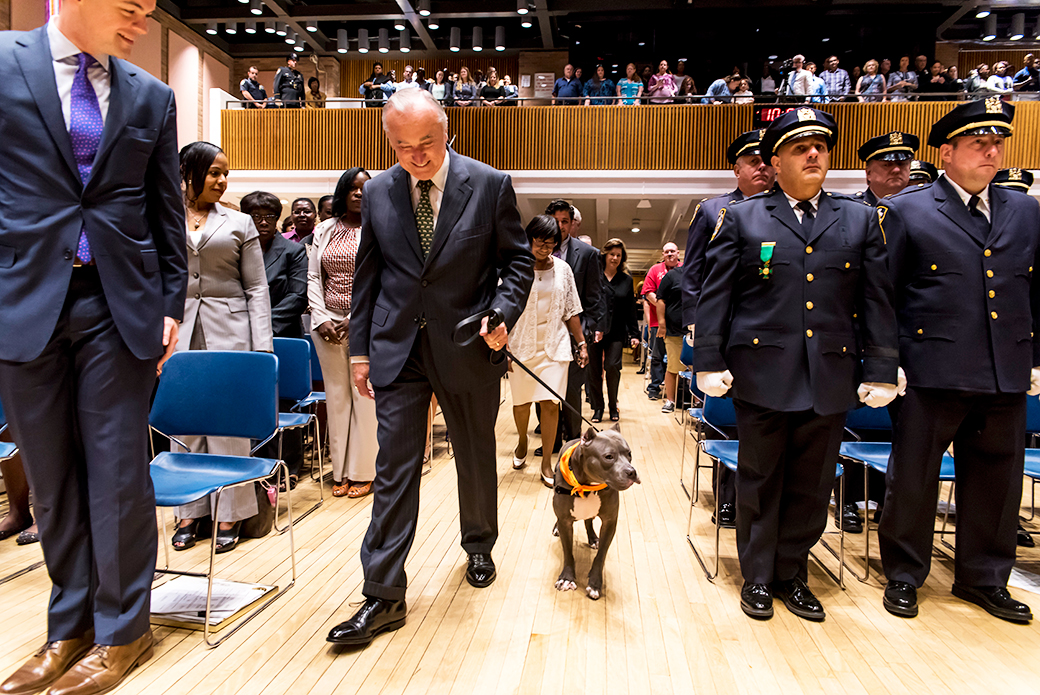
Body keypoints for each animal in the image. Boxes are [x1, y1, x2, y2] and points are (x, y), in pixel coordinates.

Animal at [553, 426, 640, 599]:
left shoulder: (609, 522)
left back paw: (593, 538)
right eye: (609, 457)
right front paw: (567, 578)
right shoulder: (565, 521)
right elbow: (568, 552)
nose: (632, 472)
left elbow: (601, 556)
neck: (587, 486)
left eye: (629, 454)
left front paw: (594, 583)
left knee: (588, 521)